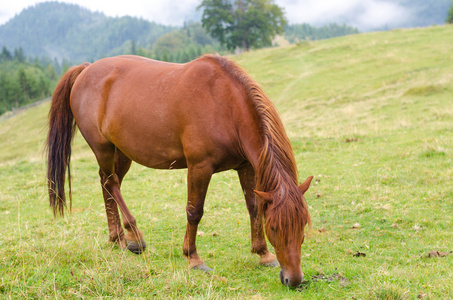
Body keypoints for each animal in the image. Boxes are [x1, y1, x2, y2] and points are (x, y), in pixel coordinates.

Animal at [46, 54, 310, 288]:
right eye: (274, 227)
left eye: (303, 225)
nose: (294, 279)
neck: (224, 104)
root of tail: (86, 69)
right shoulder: (199, 167)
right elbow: (194, 212)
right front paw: (193, 259)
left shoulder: (245, 166)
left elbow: (253, 207)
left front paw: (263, 253)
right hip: (103, 149)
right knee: (111, 184)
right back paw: (133, 235)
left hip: (121, 152)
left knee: (108, 184)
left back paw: (118, 238)